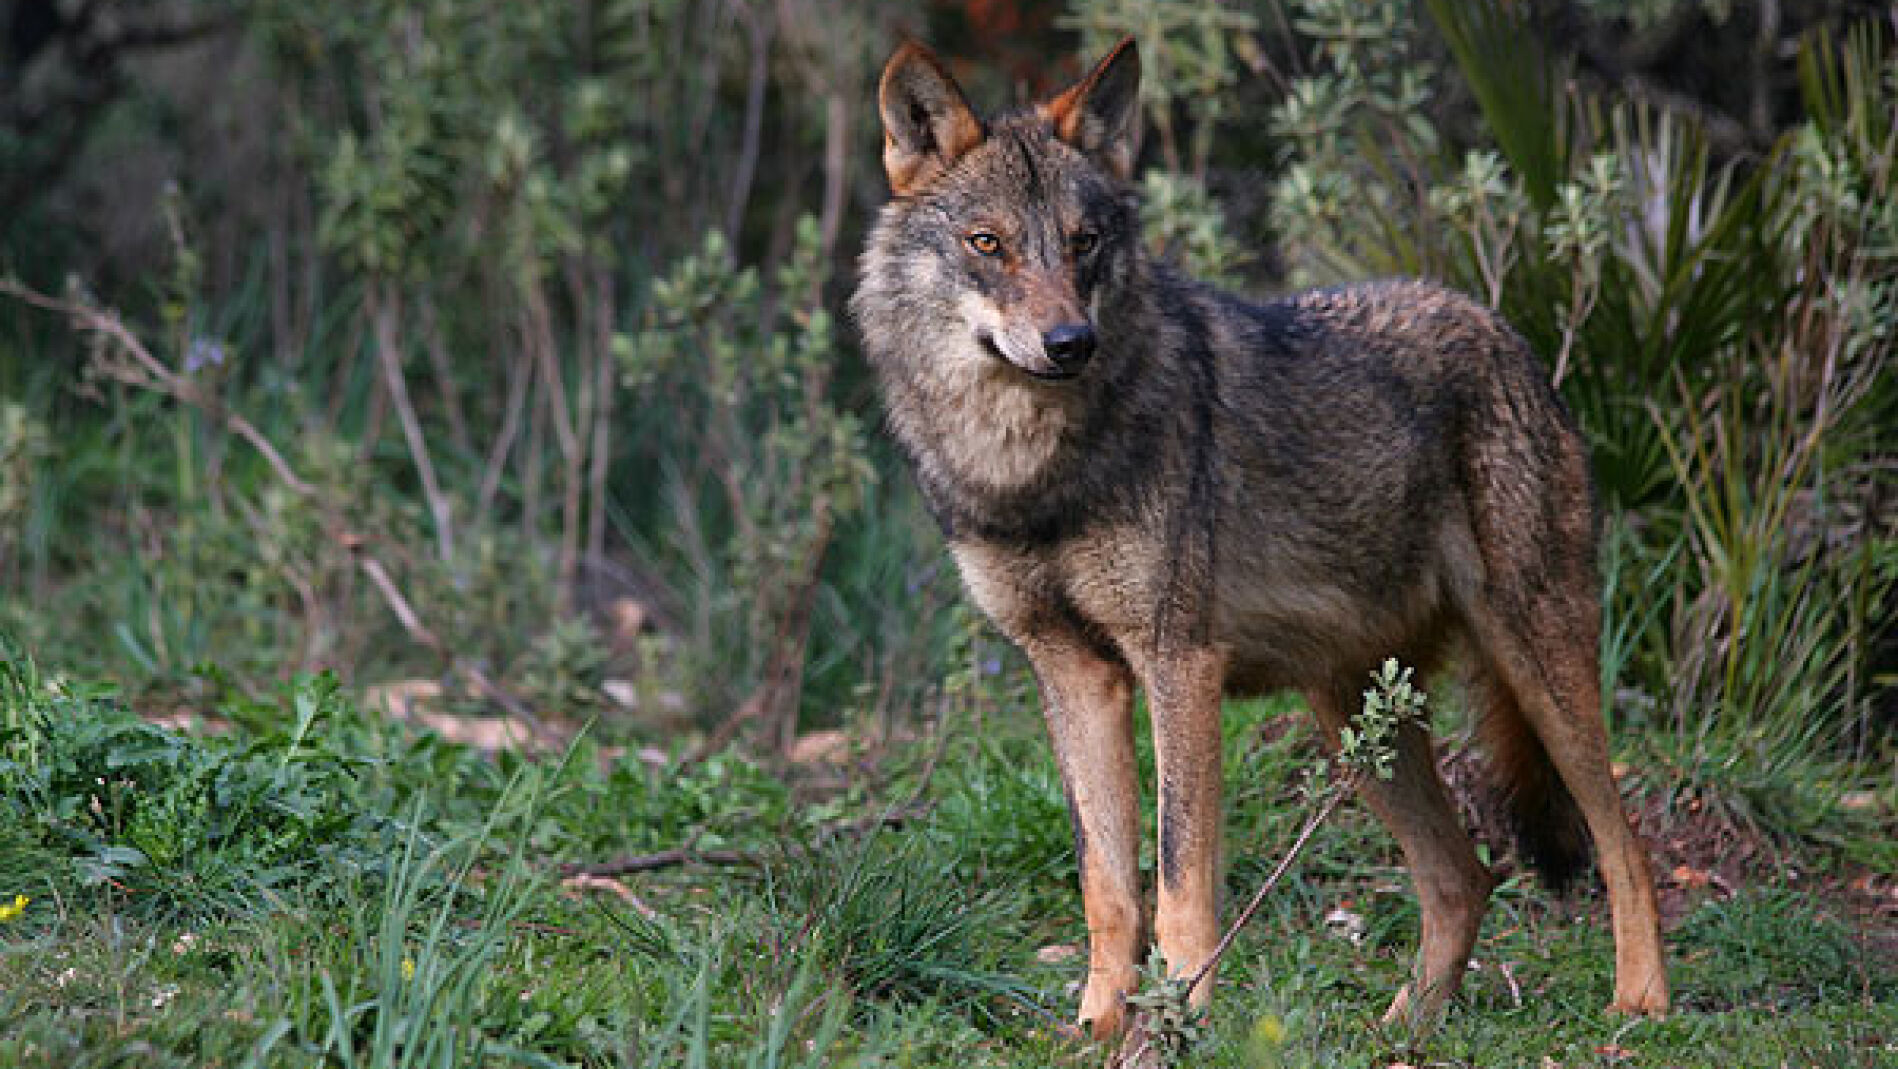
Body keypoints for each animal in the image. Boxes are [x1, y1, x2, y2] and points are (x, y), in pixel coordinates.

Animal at [850, 38, 1670, 1039]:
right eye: (987, 243)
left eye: (1084, 242)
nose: (1070, 341)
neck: (1029, 472)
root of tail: (1508, 334)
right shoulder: (1074, 673)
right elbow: (1107, 883)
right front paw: (1098, 1029)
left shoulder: (1179, 661)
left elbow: (1179, 879)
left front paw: (1179, 1025)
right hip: (1355, 716)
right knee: (1463, 877)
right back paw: (1402, 1030)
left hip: (1533, 661)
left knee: (1621, 842)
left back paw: (1640, 1003)